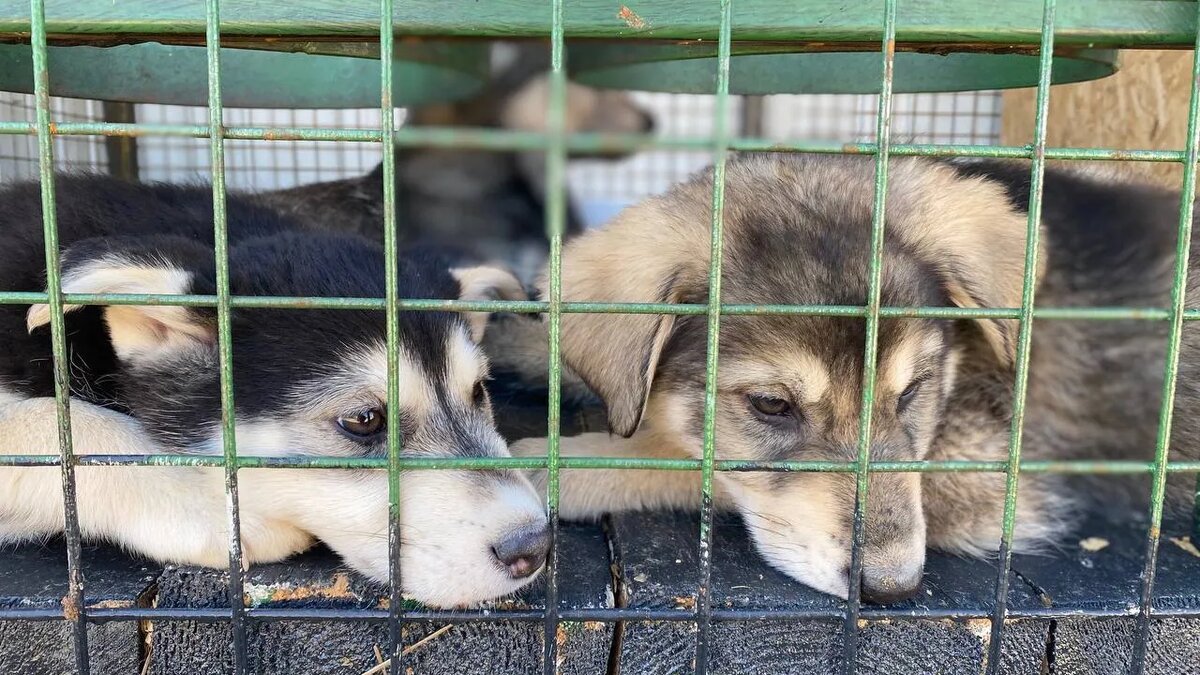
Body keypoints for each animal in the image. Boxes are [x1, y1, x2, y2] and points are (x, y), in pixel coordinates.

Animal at [511, 154, 1195, 600]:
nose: (891, 588)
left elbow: (683, 462)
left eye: (913, 391)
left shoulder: (986, 471)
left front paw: (553, 461)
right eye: (771, 405)